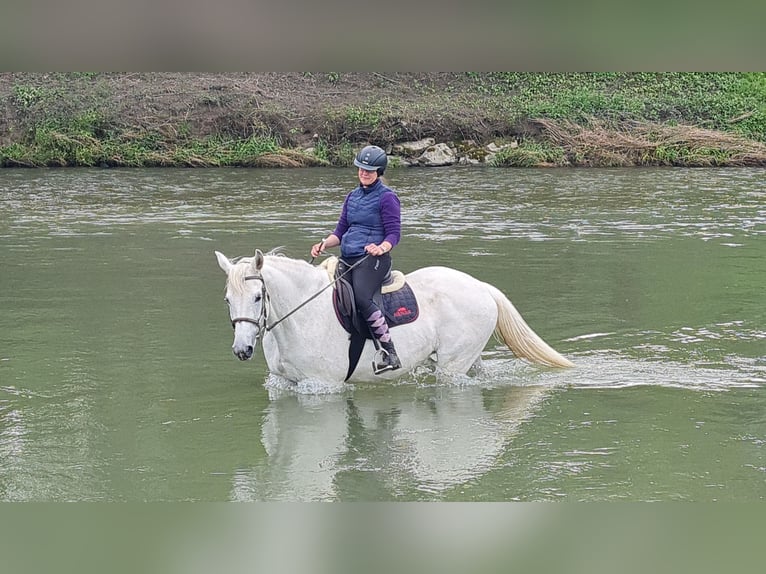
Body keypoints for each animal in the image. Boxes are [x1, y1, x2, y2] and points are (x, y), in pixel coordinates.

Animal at [213, 249, 572, 388]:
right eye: (228, 299)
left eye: (257, 297)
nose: (242, 350)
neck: (300, 315)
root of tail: (481, 286)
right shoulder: (284, 384)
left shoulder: (321, 386)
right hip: (468, 357)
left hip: (453, 365)